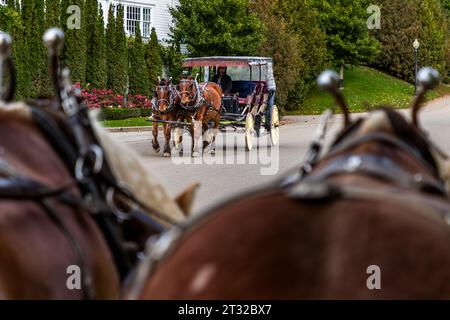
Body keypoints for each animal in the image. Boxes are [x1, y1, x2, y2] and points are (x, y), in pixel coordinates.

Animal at [129, 67, 450, 300]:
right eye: (161, 91)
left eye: (182, 88)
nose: (181, 101)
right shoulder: (169, 117)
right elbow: (163, 131)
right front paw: (165, 147)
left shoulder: (193, 114)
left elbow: (189, 133)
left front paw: (190, 149)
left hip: (221, 114)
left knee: (226, 127)